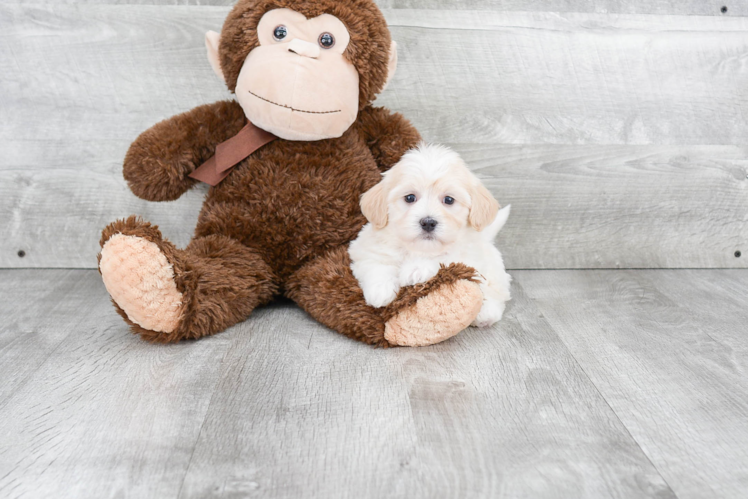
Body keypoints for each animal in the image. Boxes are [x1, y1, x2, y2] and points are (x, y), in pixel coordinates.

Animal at [348, 143, 512, 328]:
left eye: (449, 200)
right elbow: (376, 263)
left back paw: (487, 313)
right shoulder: (364, 249)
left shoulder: (467, 258)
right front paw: (380, 290)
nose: (428, 222)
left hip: (494, 271)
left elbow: (445, 258)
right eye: (410, 197)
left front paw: (416, 269)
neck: (418, 249)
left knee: (496, 289)